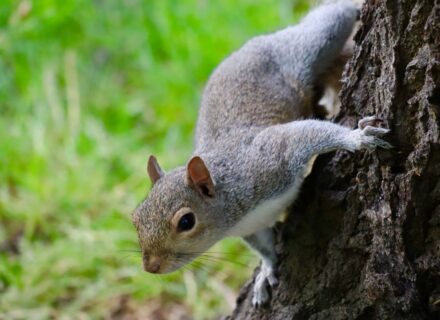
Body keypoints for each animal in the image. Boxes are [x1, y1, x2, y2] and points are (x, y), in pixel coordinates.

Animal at [132, 1, 390, 308]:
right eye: (135, 218)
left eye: (186, 222)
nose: (151, 266)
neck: (234, 207)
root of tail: (255, 43)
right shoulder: (251, 228)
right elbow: (265, 247)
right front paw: (267, 270)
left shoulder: (269, 159)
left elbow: (304, 135)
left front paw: (356, 138)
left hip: (307, 48)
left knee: (328, 21)